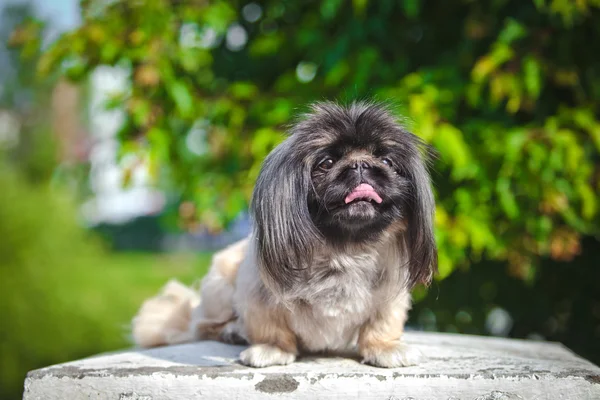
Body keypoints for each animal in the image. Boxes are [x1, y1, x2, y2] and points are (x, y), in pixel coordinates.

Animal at [134, 101, 438, 368]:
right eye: (327, 162)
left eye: (386, 160)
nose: (360, 165)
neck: (343, 249)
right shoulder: (258, 293)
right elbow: (271, 327)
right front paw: (272, 349)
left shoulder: (390, 297)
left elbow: (381, 325)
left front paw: (385, 348)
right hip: (219, 287)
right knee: (204, 325)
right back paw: (233, 331)